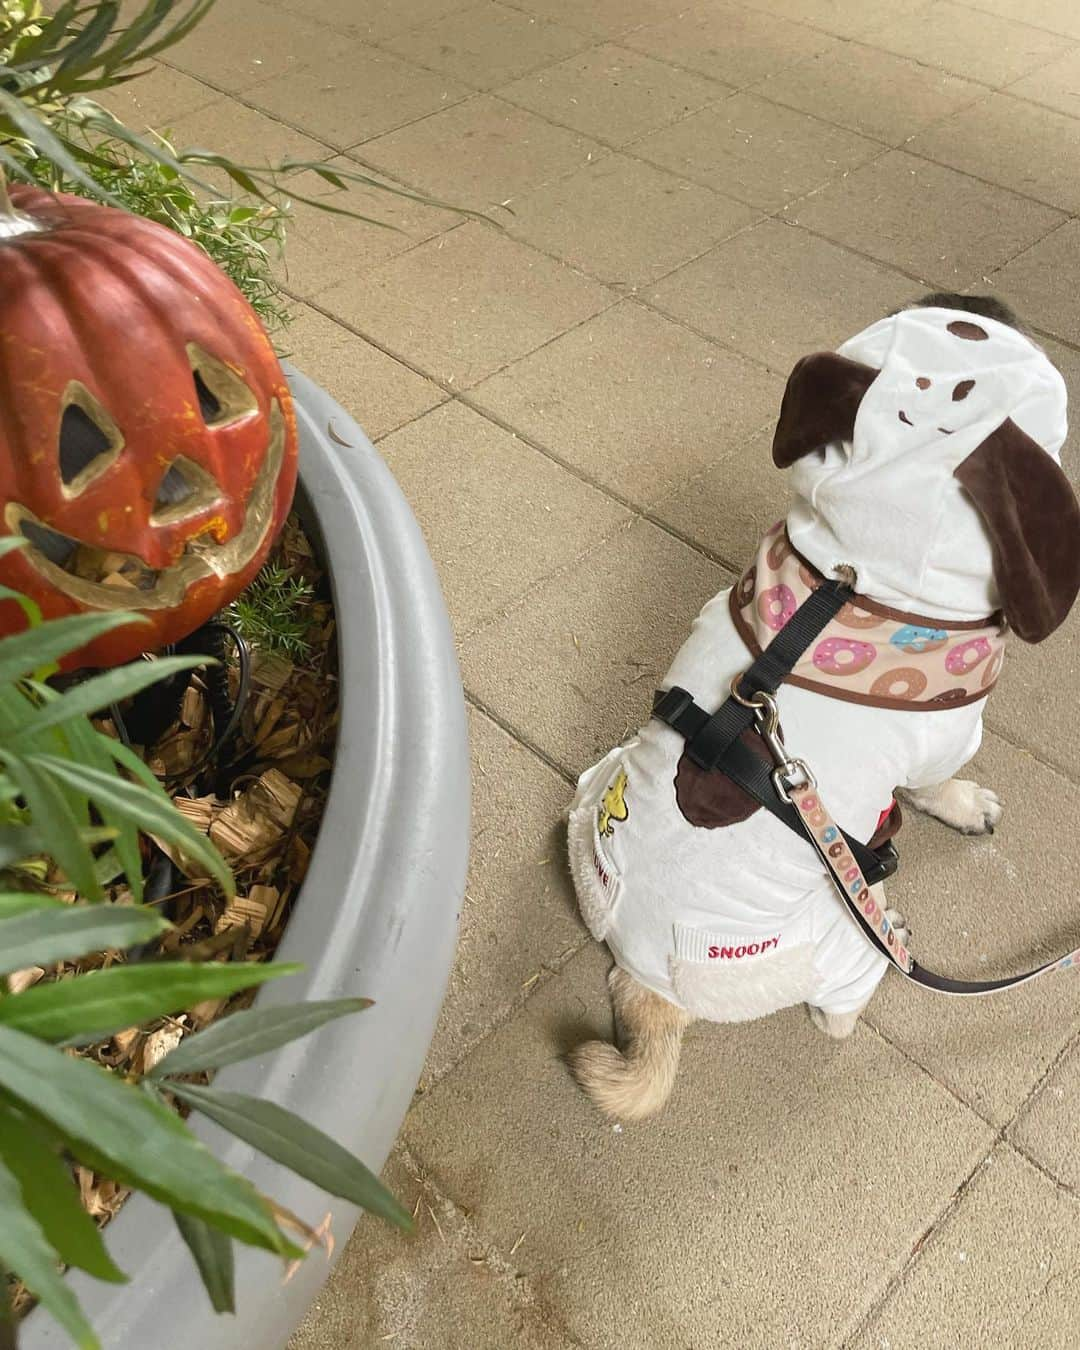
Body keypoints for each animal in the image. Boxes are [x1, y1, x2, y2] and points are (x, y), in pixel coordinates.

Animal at [569, 292, 1074, 1117]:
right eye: (975, 331)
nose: (980, 299)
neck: (856, 572)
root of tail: (651, 987)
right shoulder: (946, 741)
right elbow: (938, 785)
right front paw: (964, 805)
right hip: (843, 951)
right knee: (836, 1012)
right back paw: (888, 926)